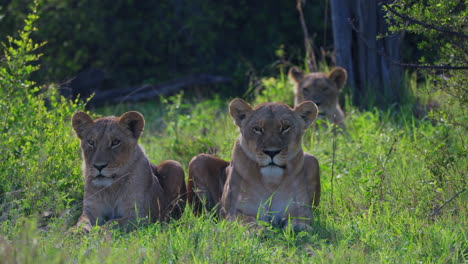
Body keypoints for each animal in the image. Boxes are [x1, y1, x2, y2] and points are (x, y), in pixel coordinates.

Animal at [188, 99, 320, 231]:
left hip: (312, 159)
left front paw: (299, 227)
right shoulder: (232, 212)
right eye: (257, 129)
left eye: (285, 127)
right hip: (197, 160)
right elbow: (247, 220)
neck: (271, 182)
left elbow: (301, 219)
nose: (272, 152)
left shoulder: (302, 209)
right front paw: (258, 230)